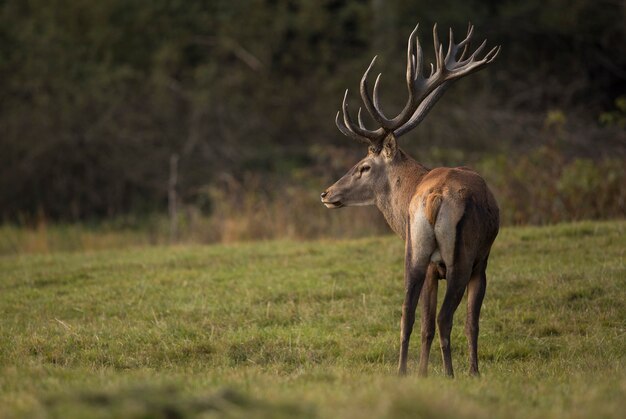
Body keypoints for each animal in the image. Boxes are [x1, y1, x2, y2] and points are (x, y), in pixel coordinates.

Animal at [320, 22, 500, 378]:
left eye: (364, 166)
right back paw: (451, 374)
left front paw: (422, 371)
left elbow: (423, 322)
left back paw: (405, 372)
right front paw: (473, 372)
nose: (327, 193)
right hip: (461, 256)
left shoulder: (430, 266)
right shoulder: (481, 262)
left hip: (414, 253)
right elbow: (471, 323)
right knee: (445, 318)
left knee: (408, 314)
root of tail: (435, 197)